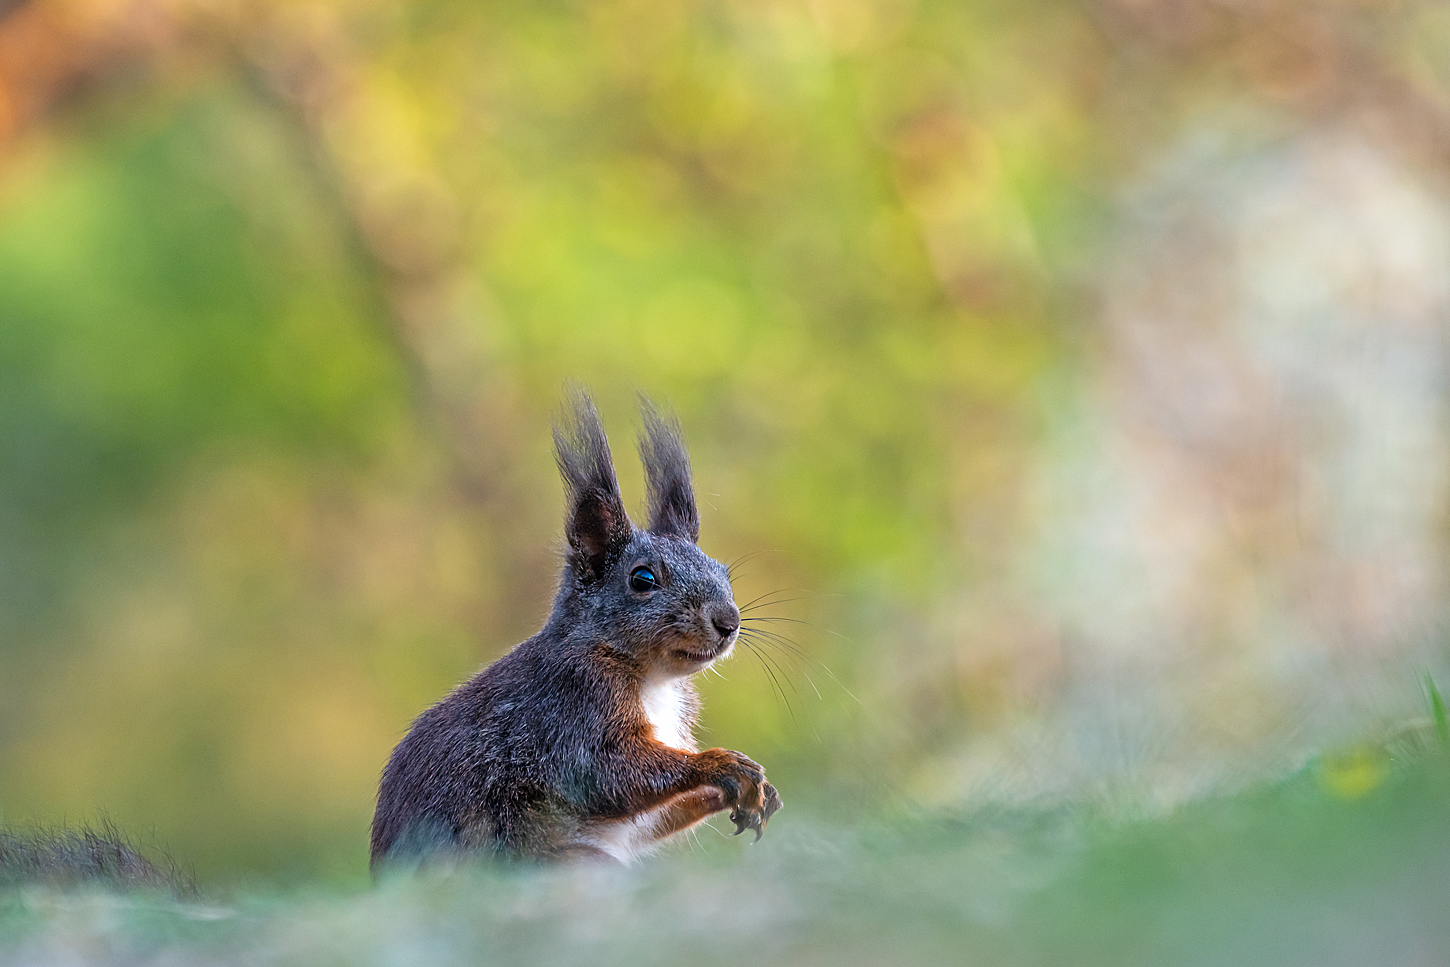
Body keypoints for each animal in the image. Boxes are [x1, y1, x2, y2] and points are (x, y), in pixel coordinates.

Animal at [371, 394, 783, 869]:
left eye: (723, 572)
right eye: (643, 579)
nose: (728, 622)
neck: (653, 678)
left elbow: (654, 819)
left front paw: (747, 791)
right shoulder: (572, 706)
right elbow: (608, 774)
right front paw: (720, 765)